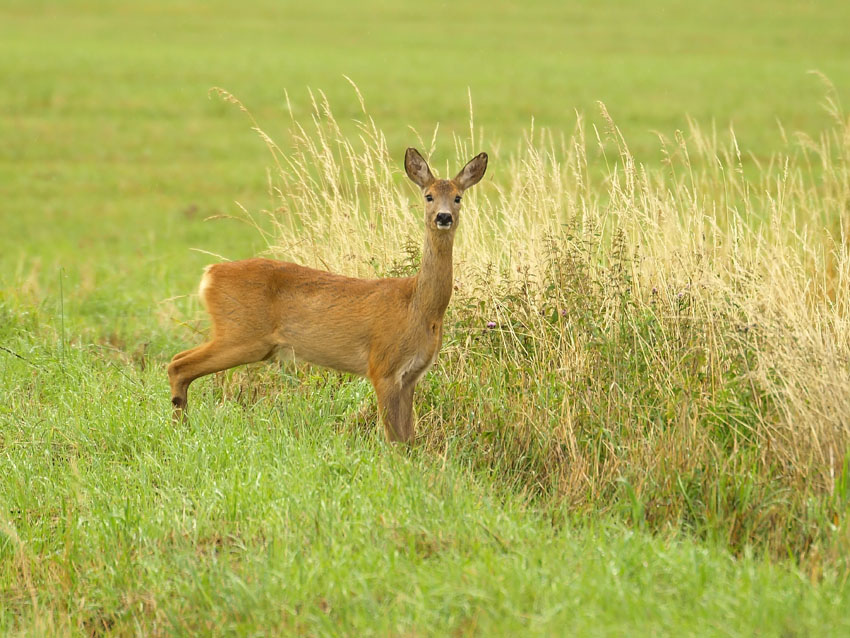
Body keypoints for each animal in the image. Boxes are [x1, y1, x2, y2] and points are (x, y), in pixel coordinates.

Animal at [167, 148, 484, 442]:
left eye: (458, 197)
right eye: (429, 196)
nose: (443, 217)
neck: (418, 306)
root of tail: (210, 274)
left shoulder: (410, 376)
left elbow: (408, 439)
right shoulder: (382, 366)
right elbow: (395, 440)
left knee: (178, 359)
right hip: (242, 334)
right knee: (178, 365)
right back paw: (180, 431)